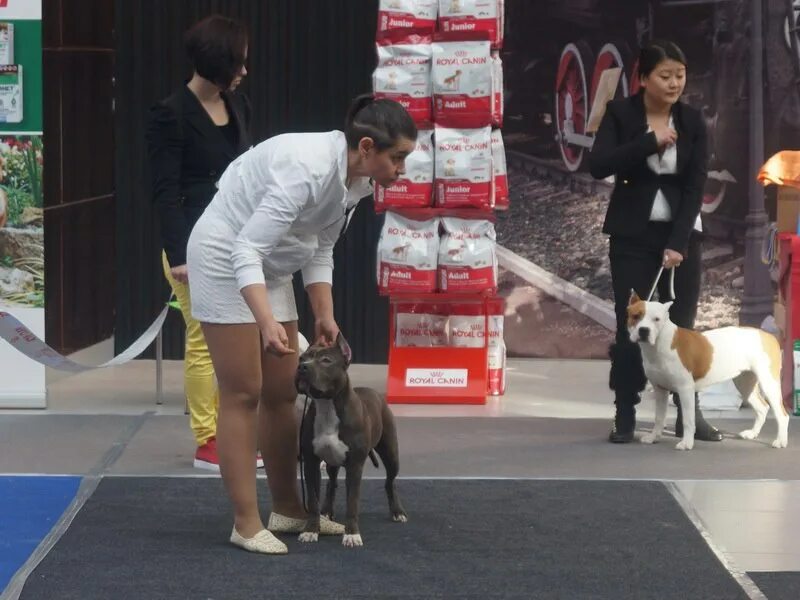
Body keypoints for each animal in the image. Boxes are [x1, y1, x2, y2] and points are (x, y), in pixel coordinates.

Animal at [294, 332, 406, 548]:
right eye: (302, 358)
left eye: (326, 360)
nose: (302, 367)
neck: (327, 406)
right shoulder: (311, 463)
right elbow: (313, 500)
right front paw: (311, 530)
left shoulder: (355, 466)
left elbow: (352, 503)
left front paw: (352, 534)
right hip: (331, 462)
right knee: (332, 483)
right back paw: (327, 511)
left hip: (391, 454)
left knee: (390, 481)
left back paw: (397, 512)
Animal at [624, 290, 788, 450]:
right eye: (636, 316)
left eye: (656, 319)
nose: (644, 330)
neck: (659, 344)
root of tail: (768, 336)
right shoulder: (660, 390)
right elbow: (658, 418)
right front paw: (654, 437)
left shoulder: (685, 389)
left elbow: (688, 420)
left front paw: (687, 443)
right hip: (745, 383)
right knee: (762, 408)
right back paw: (752, 433)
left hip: (769, 383)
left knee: (781, 414)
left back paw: (780, 441)